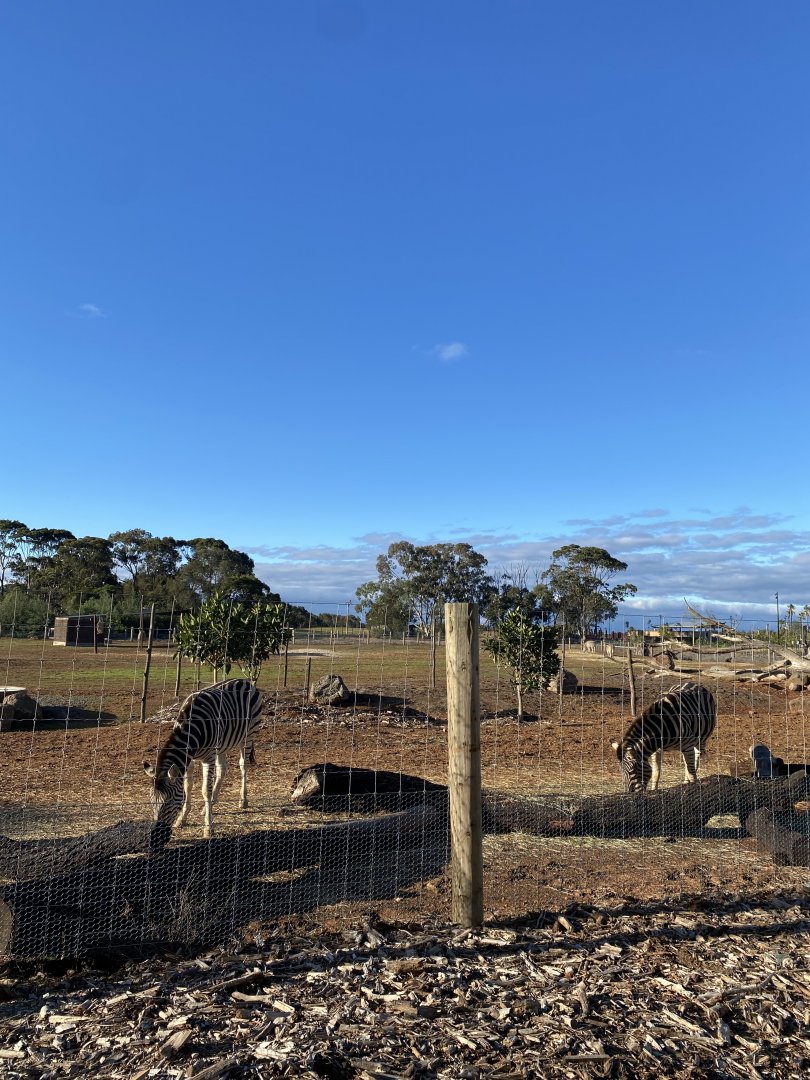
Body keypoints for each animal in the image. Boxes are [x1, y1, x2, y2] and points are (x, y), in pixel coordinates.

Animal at [143, 678, 264, 846]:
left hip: (248, 735)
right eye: (151, 803)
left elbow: (205, 790)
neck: (191, 728)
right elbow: (187, 786)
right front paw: (182, 819)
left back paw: (243, 800)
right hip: (223, 744)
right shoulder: (189, 760)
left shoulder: (208, 757)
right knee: (223, 769)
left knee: (243, 766)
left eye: (168, 803)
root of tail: (245, 681)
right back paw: (210, 806)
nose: (154, 841)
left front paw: (208, 828)